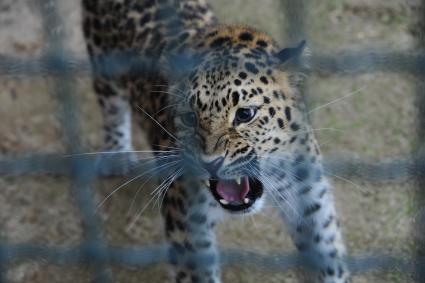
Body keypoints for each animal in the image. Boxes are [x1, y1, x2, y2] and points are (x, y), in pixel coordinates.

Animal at [81, 1, 350, 282]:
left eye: (245, 114)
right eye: (189, 118)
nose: (211, 163)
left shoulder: (310, 200)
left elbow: (329, 258)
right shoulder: (186, 222)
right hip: (102, 56)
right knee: (111, 103)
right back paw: (116, 155)